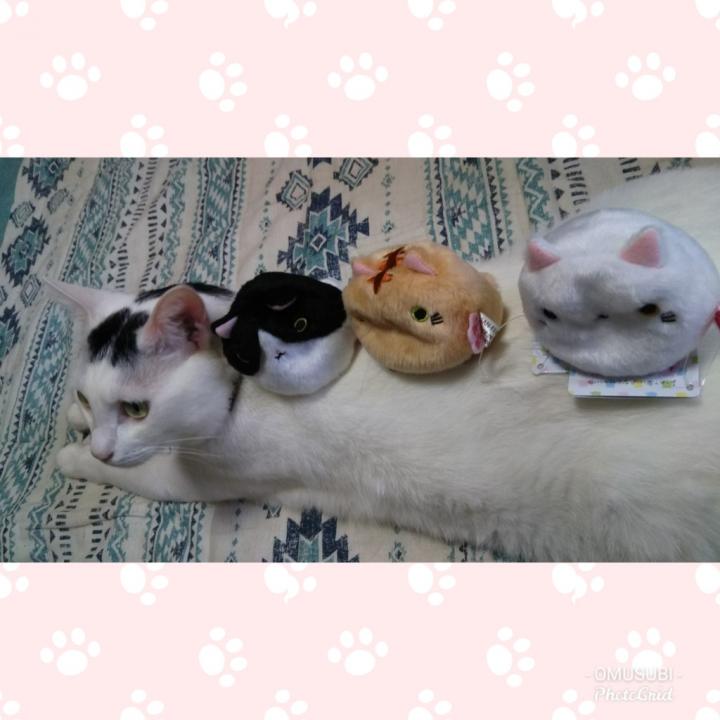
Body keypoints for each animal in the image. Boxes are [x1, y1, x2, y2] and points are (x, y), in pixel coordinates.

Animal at [52, 166, 720, 561]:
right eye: (88, 394)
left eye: (137, 408)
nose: (102, 444)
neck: (243, 383)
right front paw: (75, 425)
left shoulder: (200, 477)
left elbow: (140, 472)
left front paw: (73, 457)